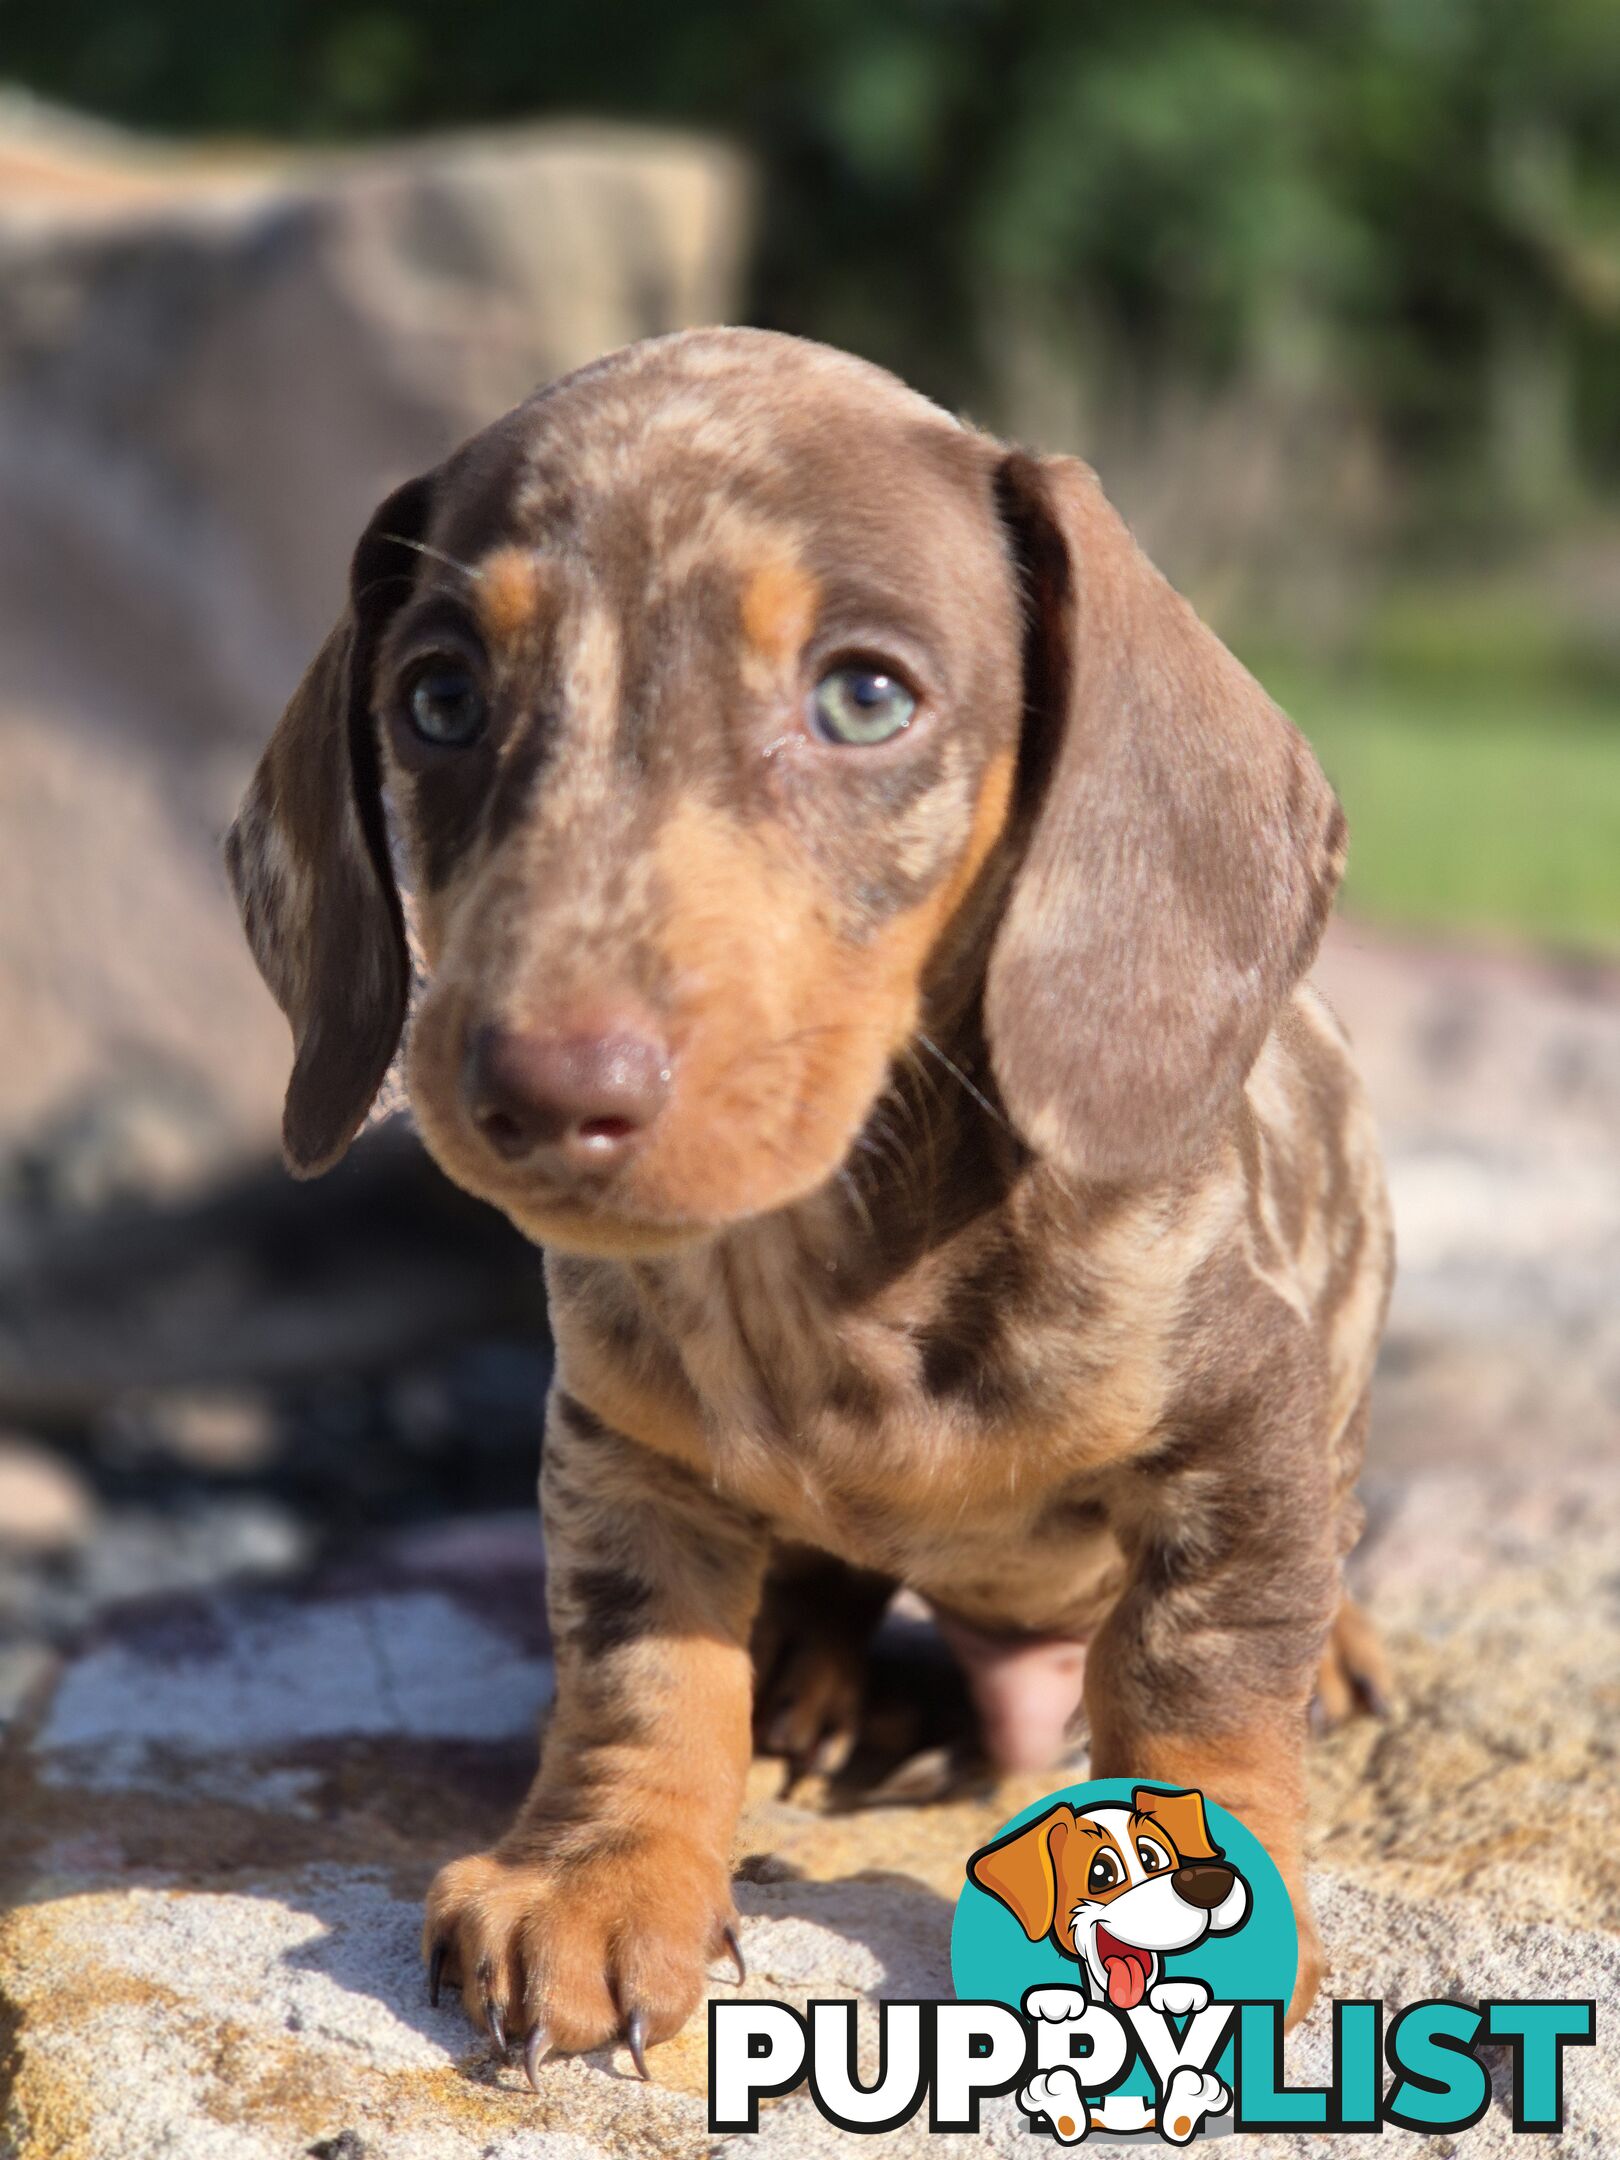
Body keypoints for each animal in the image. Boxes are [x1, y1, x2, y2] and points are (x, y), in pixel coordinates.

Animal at [225, 324, 1399, 2073]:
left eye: (864, 695)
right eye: (438, 699)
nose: (543, 1088)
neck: (823, 1267)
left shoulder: (1244, 1423)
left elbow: (1198, 1680)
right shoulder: (617, 1449)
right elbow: (640, 1673)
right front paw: (603, 1872)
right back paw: (808, 1681)